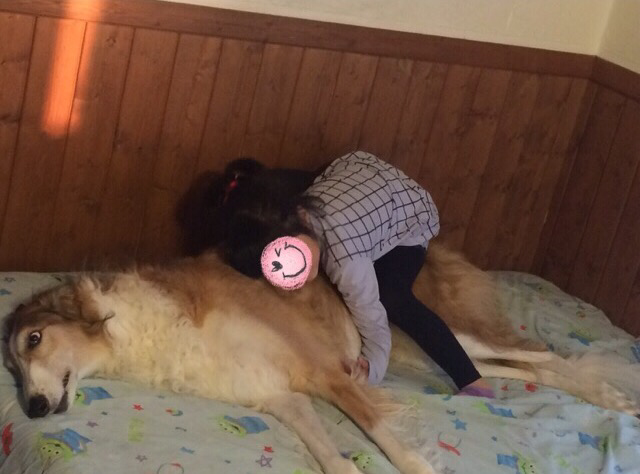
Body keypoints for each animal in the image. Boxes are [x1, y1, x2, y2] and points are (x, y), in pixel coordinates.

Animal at [3, 243, 640, 474]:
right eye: (11, 370)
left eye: (33, 340)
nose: (30, 409)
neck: (143, 327)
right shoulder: (280, 397)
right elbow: (331, 457)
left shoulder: (326, 372)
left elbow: (388, 440)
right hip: (422, 357)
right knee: (514, 371)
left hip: (445, 330)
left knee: (548, 356)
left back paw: (611, 395)